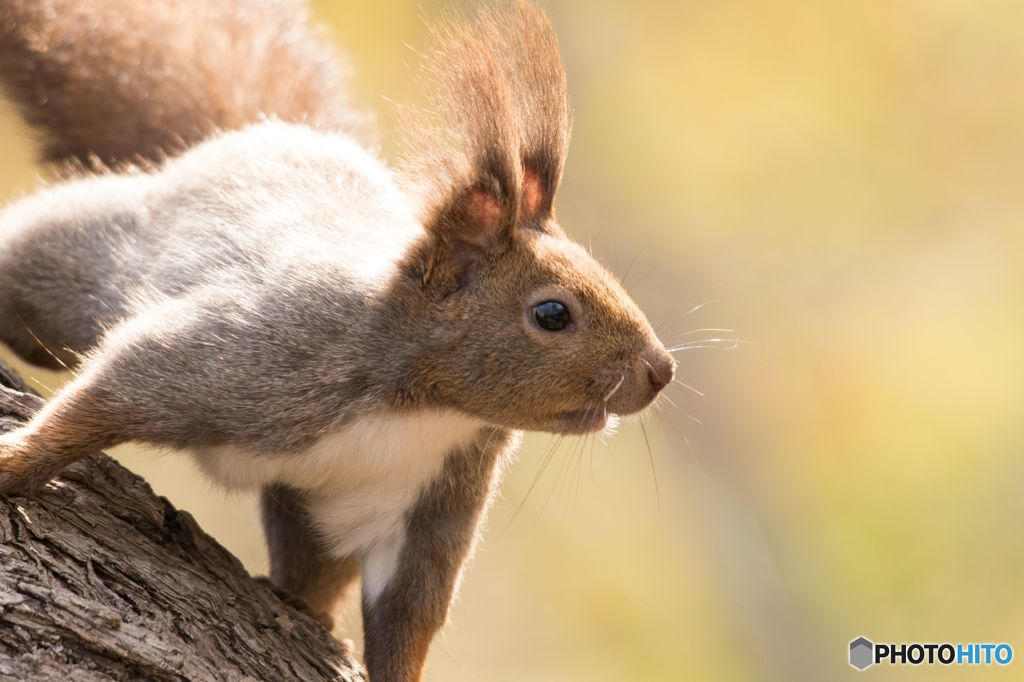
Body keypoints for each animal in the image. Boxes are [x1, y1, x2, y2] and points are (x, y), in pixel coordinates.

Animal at [0, 2, 675, 675]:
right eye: (553, 314)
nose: (661, 371)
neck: (424, 407)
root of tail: (255, 134)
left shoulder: (433, 501)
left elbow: (408, 612)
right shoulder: (268, 353)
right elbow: (121, 386)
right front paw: (16, 464)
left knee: (310, 560)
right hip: (82, 258)